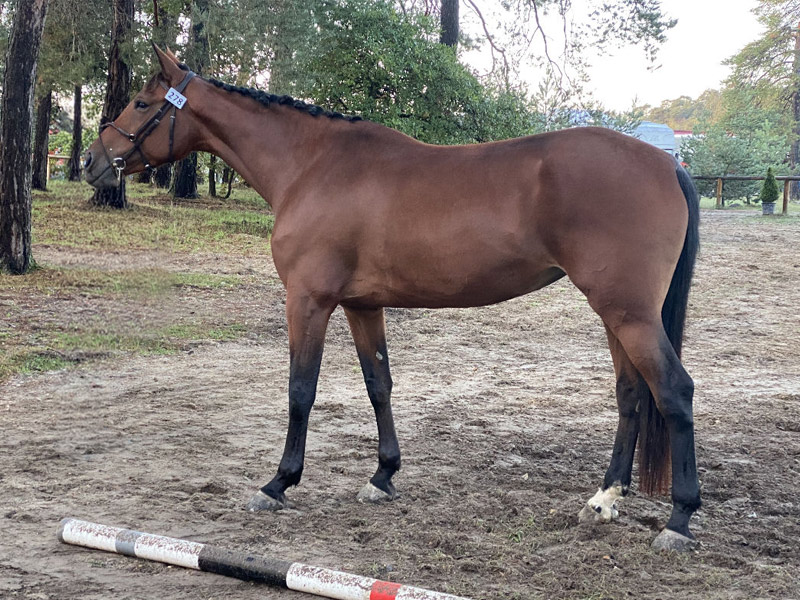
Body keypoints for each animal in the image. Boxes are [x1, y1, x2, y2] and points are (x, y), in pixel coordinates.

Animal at [84, 46, 701, 551]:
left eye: (141, 103)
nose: (91, 162)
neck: (312, 167)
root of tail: (667, 162)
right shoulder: (362, 305)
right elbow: (378, 384)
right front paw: (382, 476)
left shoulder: (308, 301)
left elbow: (301, 390)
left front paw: (279, 482)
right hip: (617, 314)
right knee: (630, 394)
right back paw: (604, 499)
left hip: (630, 314)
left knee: (674, 390)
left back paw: (679, 520)